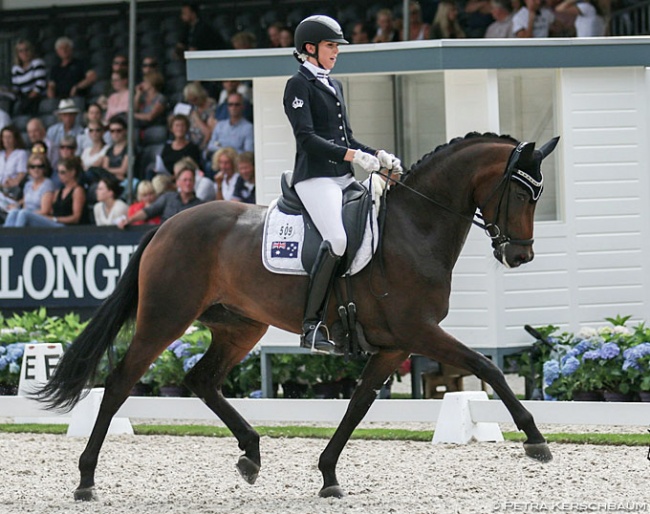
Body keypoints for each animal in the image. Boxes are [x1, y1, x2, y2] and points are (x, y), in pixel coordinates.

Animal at [38, 130, 556, 498]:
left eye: (540, 195)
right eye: (521, 194)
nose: (521, 256)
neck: (415, 226)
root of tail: (167, 224)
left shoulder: (395, 345)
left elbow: (359, 402)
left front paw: (328, 475)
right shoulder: (418, 331)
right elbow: (487, 366)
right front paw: (535, 439)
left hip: (241, 326)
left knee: (202, 379)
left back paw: (250, 453)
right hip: (165, 319)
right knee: (120, 382)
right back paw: (85, 480)